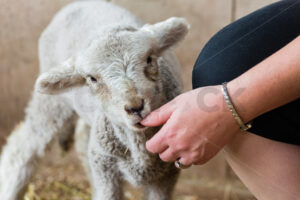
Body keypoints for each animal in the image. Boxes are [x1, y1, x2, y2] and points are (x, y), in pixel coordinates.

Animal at [0, 0, 189, 199]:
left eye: (150, 59)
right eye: (92, 78)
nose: (135, 107)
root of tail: (78, 3)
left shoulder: (165, 176)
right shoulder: (105, 171)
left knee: (82, 139)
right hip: (53, 103)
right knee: (21, 149)